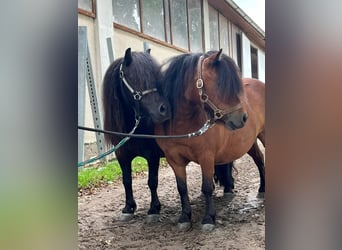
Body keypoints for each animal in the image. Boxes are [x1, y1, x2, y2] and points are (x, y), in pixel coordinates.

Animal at [102, 47, 170, 222]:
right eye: (135, 77)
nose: (164, 109)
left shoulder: (152, 156)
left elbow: (152, 181)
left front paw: (154, 209)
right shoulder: (122, 155)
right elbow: (126, 180)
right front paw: (129, 207)